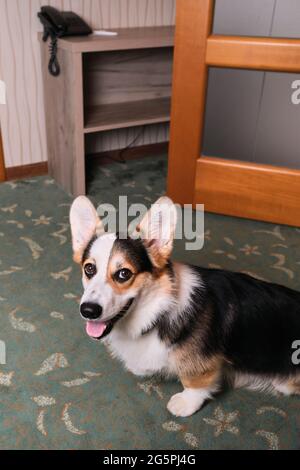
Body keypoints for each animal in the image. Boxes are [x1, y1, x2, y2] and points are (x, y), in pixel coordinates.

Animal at [69, 196, 300, 416]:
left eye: (124, 274)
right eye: (89, 269)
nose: (88, 310)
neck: (156, 311)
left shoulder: (202, 365)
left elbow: (196, 382)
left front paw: (185, 403)